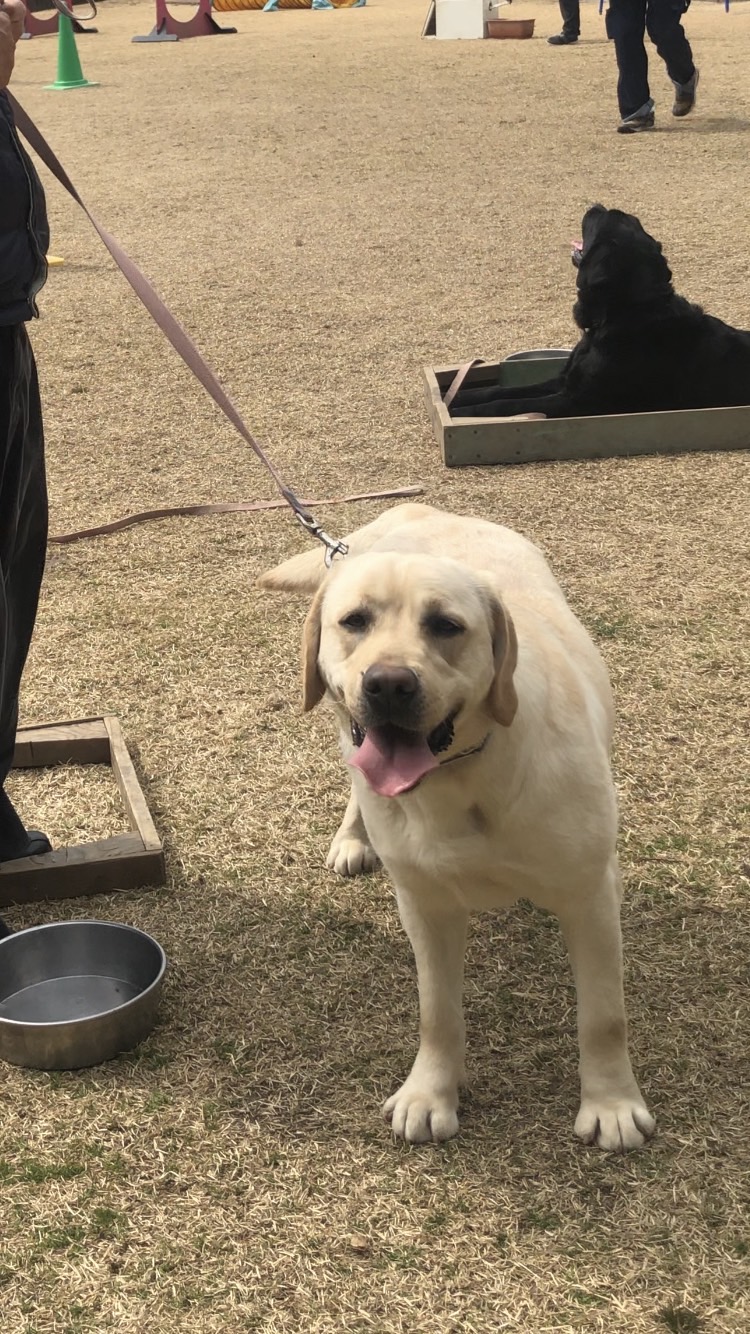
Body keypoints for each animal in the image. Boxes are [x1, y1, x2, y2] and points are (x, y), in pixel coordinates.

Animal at [258, 504, 653, 1152]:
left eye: (446, 625)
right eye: (355, 621)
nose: (388, 683)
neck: (460, 775)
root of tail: (424, 508)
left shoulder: (590, 893)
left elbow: (604, 1016)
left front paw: (612, 1105)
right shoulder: (425, 903)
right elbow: (436, 1012)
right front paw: (429, 1094)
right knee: (355, 773)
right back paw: (353, 836)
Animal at [445, 204, 747, 416]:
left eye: (607, 218)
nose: (596, 206)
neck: (619, 316)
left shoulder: (576, 401)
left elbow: (506, 405)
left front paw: (461, 411)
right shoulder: (562, 381)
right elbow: (501, 392)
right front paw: (458, 396)